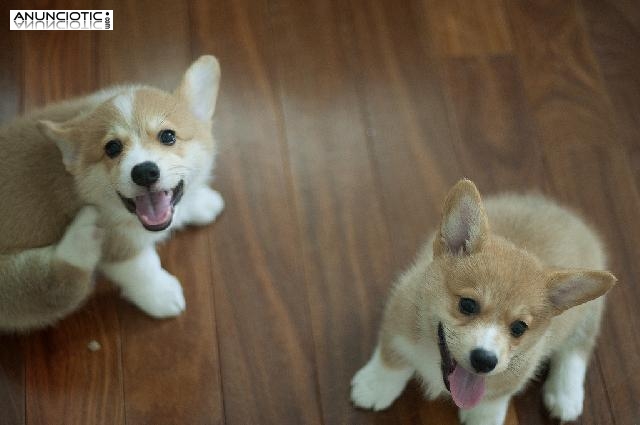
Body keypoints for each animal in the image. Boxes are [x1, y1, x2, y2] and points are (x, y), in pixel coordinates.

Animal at [0, 54, 224, 330]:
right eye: (112, 148)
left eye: (168, 136)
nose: (144, 172)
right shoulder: (120, 245)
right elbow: (142, 268)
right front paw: (160, 294)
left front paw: (201, 202)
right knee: (59, 286)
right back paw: (81, 235)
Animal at [352, 178, 616, 424]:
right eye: (467, 305)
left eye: (519, 328)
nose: (484, 361)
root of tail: (563, 212)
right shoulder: (398, 316)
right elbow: (391, 358)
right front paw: (374, 386)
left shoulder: (514, 375)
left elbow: (492, 401)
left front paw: (484, 418)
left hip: (587, 317)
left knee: (577, 348)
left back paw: (565, 396)